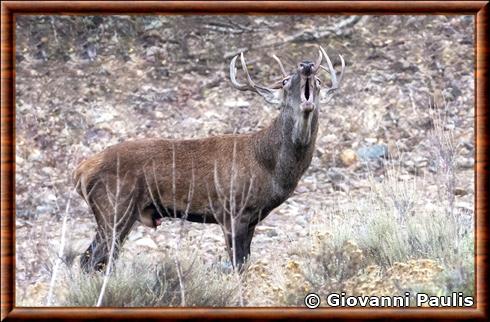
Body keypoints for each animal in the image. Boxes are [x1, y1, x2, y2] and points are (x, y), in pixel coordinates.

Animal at [75, 45, 344, 272]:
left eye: (319, 80)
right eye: (285, 81)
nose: (307, 65)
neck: (268, 168)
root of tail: (80, 172)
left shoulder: (253, 218)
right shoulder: (232, 211)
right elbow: (238, 266)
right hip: (114, 207)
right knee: (91, 259)